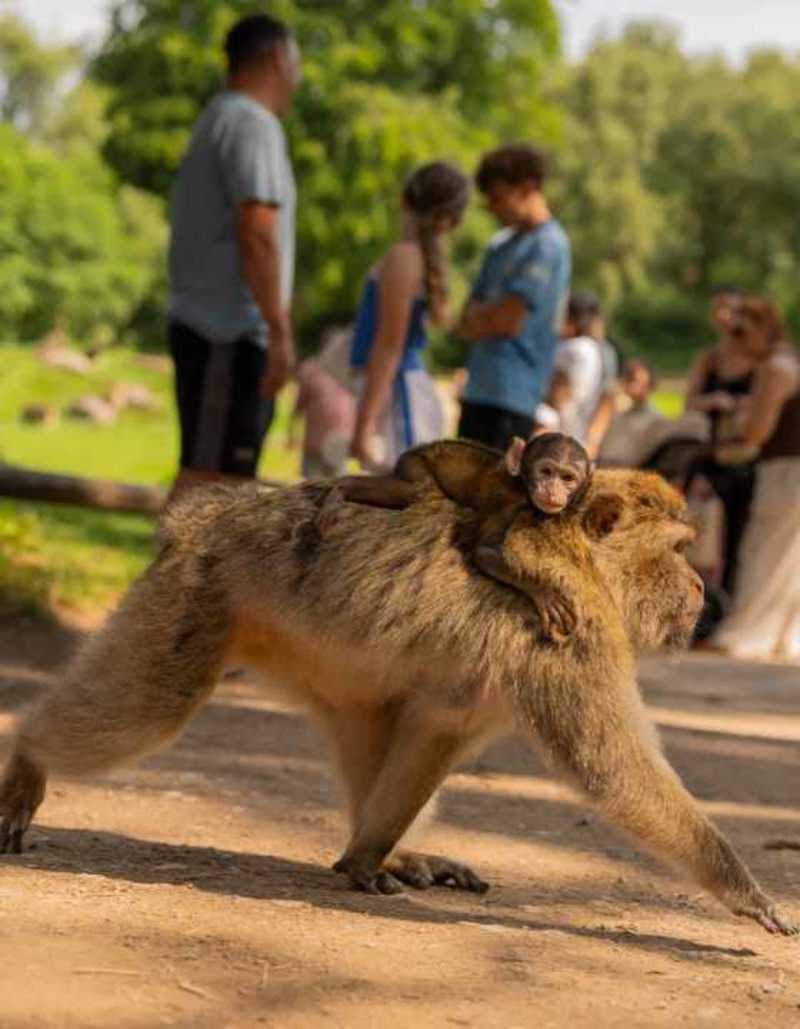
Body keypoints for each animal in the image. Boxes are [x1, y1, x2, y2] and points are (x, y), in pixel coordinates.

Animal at [1, 470, 796, 936]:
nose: (701, 587)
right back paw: (29, 757)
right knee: (151, 706)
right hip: (197, 597)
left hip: (319, 658)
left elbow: (440, 724)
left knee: (376, 718)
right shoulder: (571, 627)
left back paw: (385, 845)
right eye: (678, 550)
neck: (584, 559)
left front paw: (367, 855)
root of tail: (204, 514)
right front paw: (743, 887)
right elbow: (609, 765)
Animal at [317, 433, 592, 642]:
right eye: (546, 471)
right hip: (415, 464)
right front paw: (545, 592)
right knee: (414, 490)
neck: (523, 484)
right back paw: (343, 488)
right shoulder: (509, 503)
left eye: (567, 478)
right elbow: (483, 551)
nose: (553, 489)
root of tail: (419, 448)